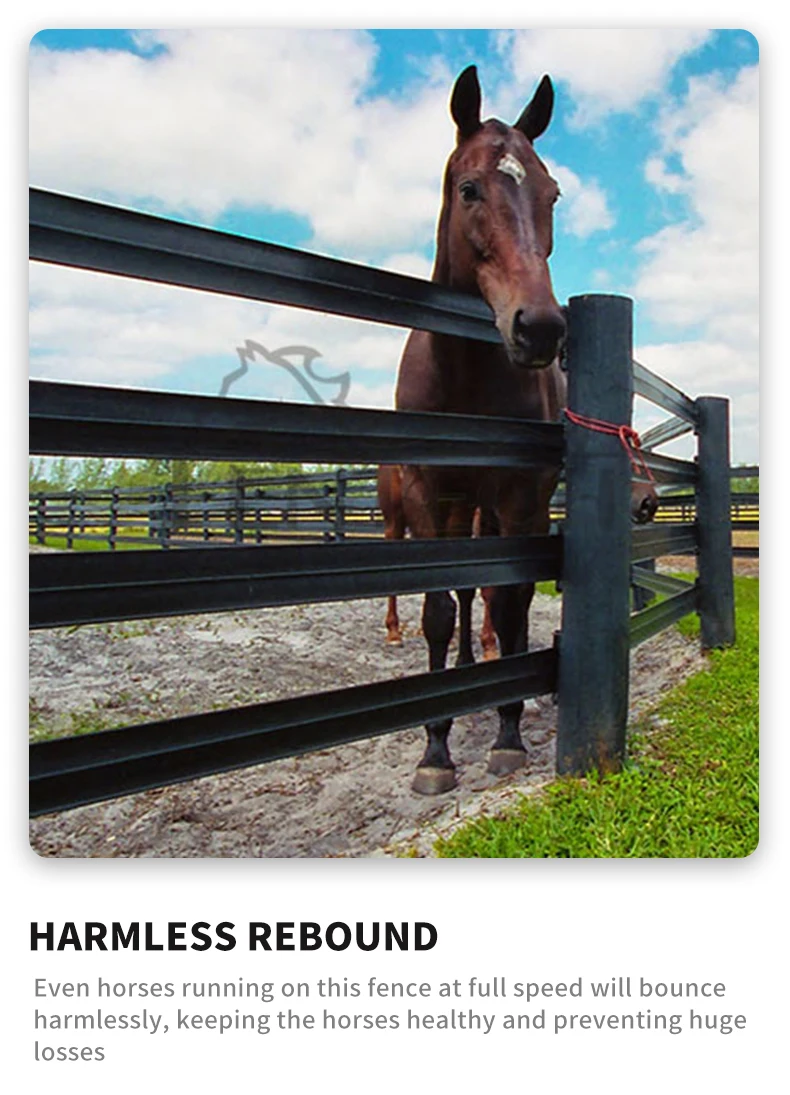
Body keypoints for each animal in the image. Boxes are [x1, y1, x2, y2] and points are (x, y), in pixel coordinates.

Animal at [393, 65, 655, 795]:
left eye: (552, 194)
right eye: (470, 188)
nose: (539, 328)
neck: (464, 379)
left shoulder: (518, 500)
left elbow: (509, 602)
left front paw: (507, 736)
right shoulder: (429, 495)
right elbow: (438, 607)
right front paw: (435, 748)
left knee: (495, 595)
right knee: (463, 593)